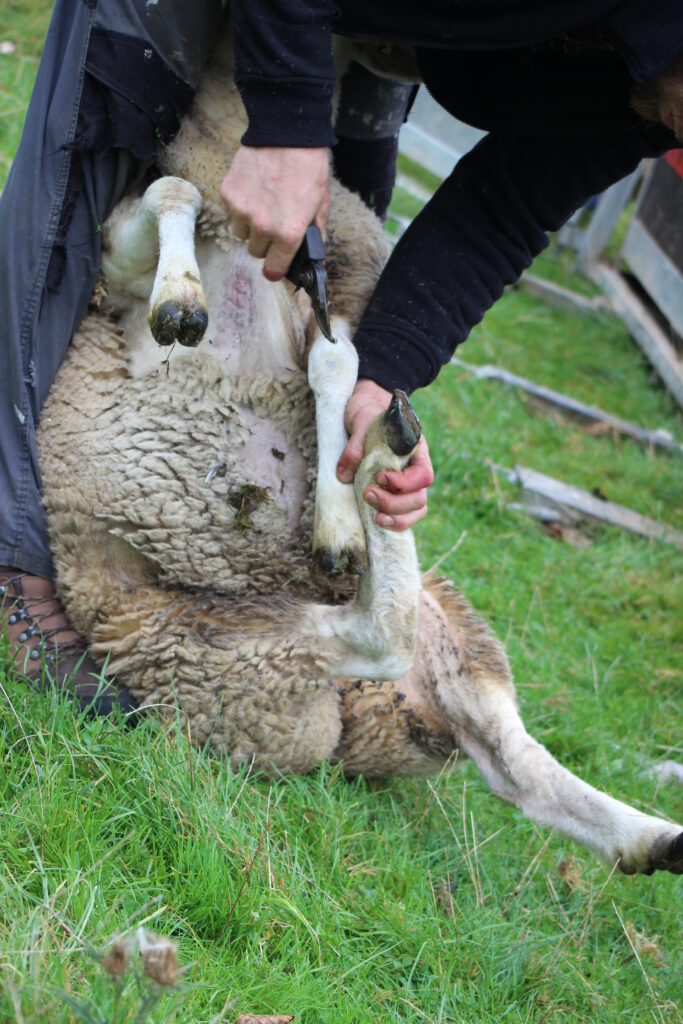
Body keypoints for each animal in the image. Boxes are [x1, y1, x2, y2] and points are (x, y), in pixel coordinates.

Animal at [37, 22, 683, 872]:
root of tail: (356, 723)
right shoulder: (116, 270)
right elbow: (172, 197)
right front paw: (183, 301)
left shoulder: (310, 291)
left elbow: (330, 359)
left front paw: (337, 510)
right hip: (219, 645)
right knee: (392, 645)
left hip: (440, 642)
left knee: (504, 753)